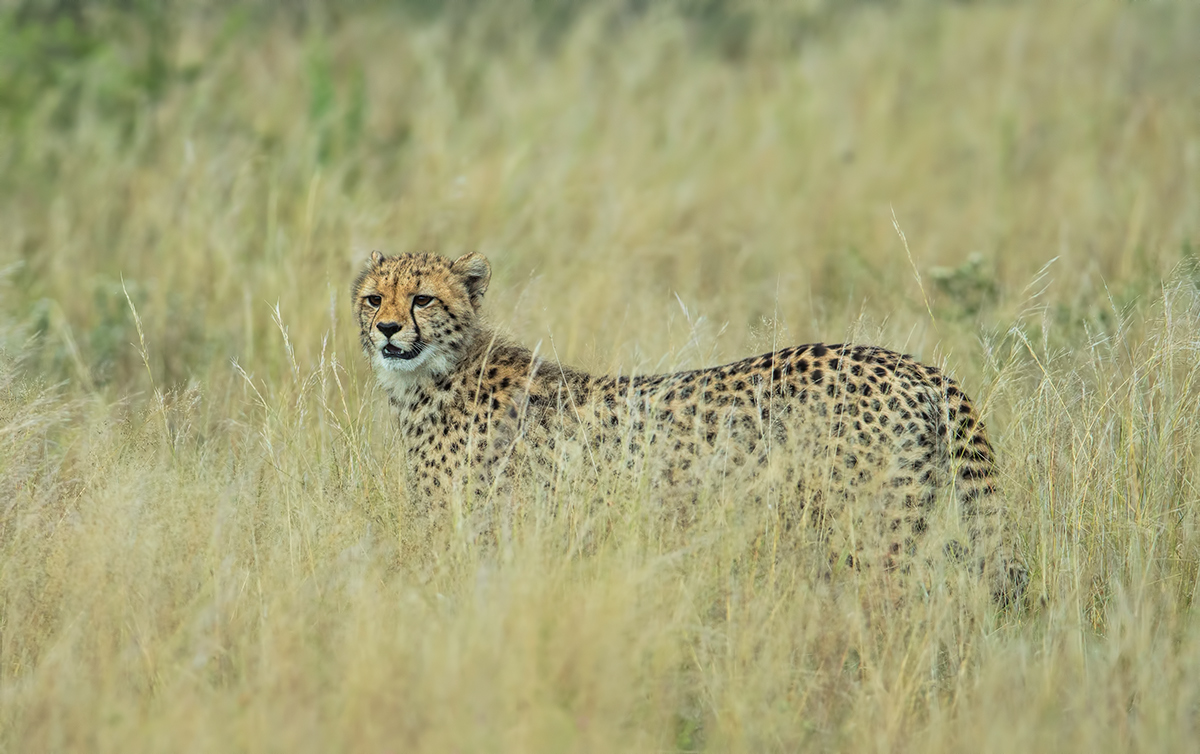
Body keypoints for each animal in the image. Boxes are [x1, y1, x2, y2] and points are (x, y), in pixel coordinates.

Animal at [353, 250, 1026, 602]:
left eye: (422, 299)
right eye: (373, 298)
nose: (387, 329)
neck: (435, 376)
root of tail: (914, 364)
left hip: (871, 532)